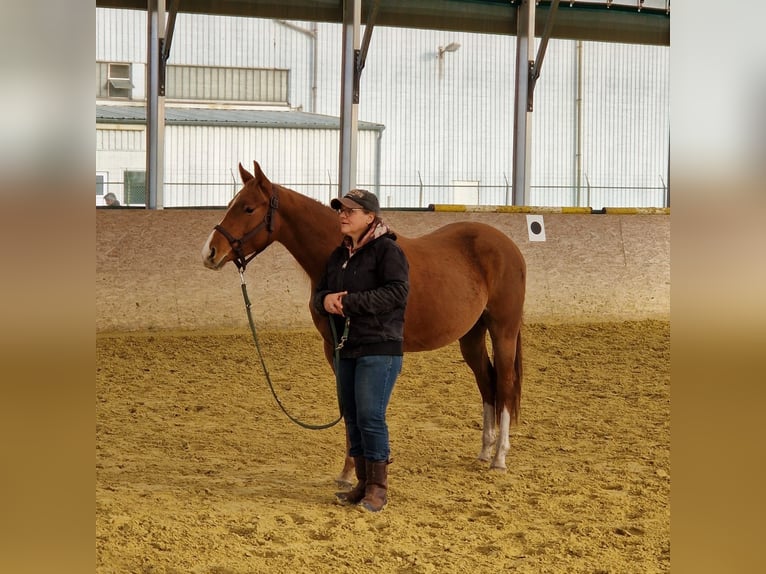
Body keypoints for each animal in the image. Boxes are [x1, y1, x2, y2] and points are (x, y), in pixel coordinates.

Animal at [202, 161, 526, 486]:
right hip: (472, 335)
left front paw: (354, 474)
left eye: (248, 208)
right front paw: (349, 471)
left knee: (505, 382)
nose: (210, 252)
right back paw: (484, 451)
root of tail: (507, 245)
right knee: (486, 381)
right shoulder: (333, 349)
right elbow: (348, 409)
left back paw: (499, 458)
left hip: (503, 330)